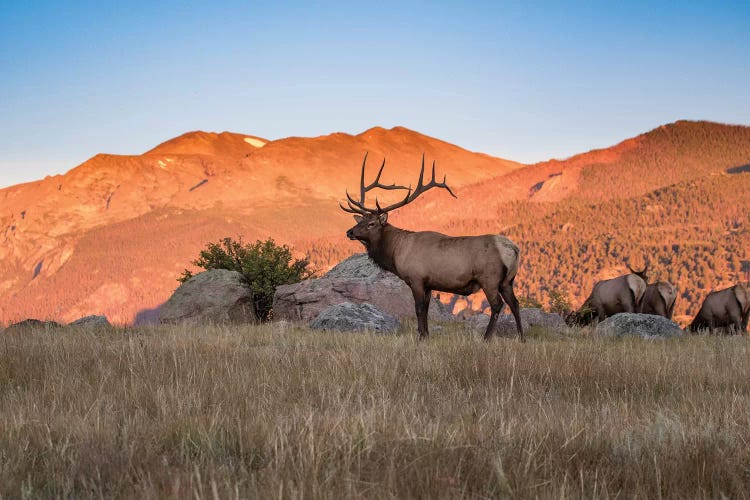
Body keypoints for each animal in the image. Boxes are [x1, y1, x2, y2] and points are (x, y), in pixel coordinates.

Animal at [340, 152, 524, 340]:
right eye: (360, 221)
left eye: (371, 224)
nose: (349, 232)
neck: (396, 252)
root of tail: (514, 249)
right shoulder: (429, 284)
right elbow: (426, 310)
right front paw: (426, 335)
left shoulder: (416, 279)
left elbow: (419, 310)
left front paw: (421, 336)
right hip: (507, 281)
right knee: (515, 303)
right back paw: (521, 337)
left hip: (489, 278)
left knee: (497, 305)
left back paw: (487, 338)